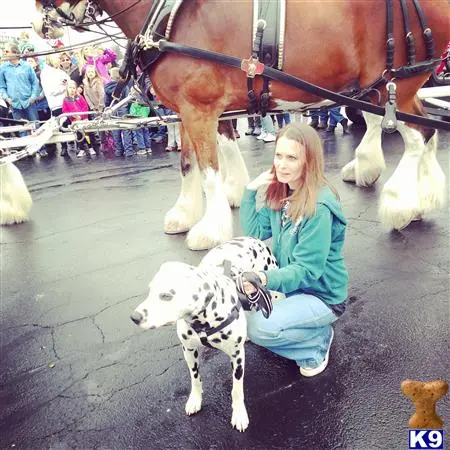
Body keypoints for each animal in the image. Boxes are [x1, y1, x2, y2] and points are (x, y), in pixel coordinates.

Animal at [32, 0, 450, 250]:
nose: (39, 22)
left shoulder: (200, 108)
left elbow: (209, 171)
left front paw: (209, 229)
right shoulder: (189, 110)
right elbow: (188, 165)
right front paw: (185, 213)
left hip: (394, 85)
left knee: (418, 137)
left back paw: (399, 204)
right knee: (428, 132)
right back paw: (423, 198)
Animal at [128, 234, 280, 430]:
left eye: (167, 295)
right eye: (150, 290)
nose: (134, 317)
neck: (204, 320)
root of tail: (253, 239)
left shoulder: (237, 357)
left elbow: (237, 389)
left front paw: (239, 413)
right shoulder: (188, 350)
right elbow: (195, 378)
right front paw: (195, 400)